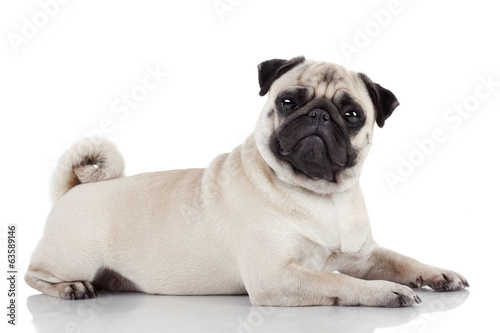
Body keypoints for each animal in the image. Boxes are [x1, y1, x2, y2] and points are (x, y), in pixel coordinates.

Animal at [25, 56, 466, 306]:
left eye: (352, 115)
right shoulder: (275, 275)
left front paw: (437, 274)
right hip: (73, 256)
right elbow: (334, 278)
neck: (323, 196)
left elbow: (400, 259)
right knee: (34, 276)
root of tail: (76, 187)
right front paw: (384, 292)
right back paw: (71, 288)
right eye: (287, 102)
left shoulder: (364, 256)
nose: (319, 115)